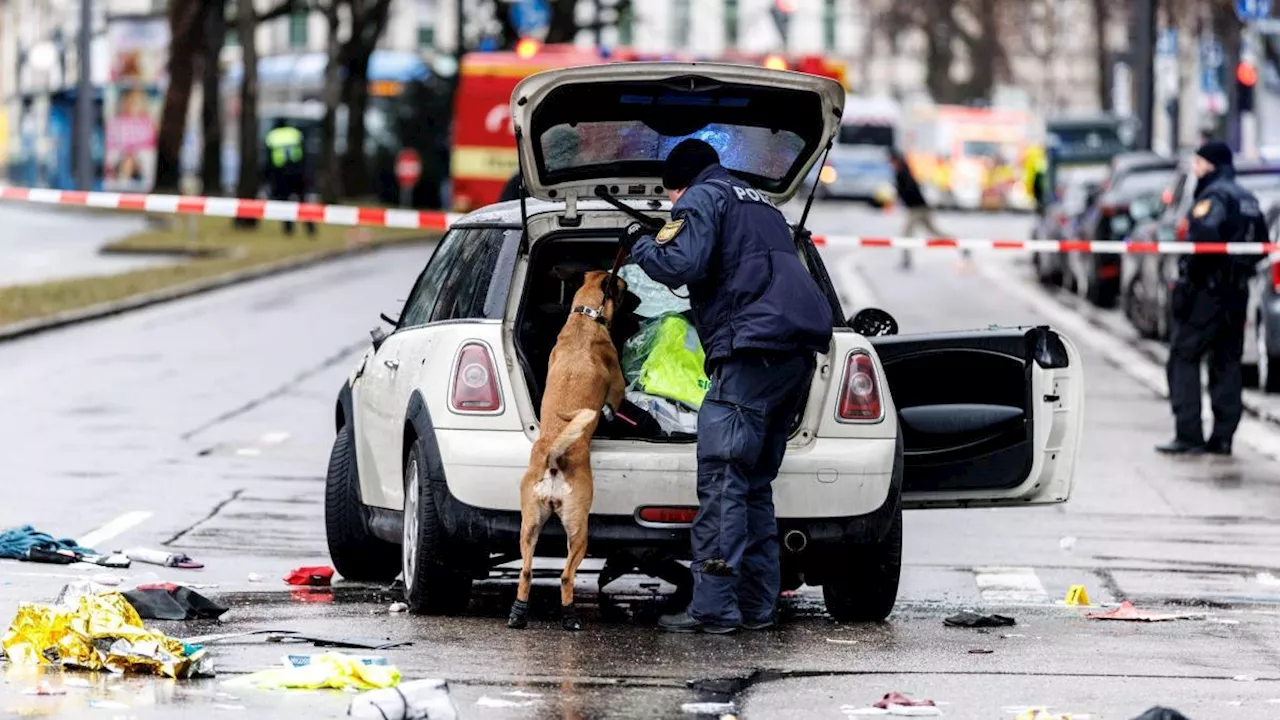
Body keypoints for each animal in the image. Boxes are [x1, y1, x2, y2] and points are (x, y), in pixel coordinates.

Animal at [509, 269, 629, 627]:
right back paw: (570, 616)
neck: (585, 318)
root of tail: (554, 456)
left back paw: (518, 613)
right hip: (579, 530)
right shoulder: (617, 387)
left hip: (529, 526)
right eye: (622, 287)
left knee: (526, 572)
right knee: (565, 576)